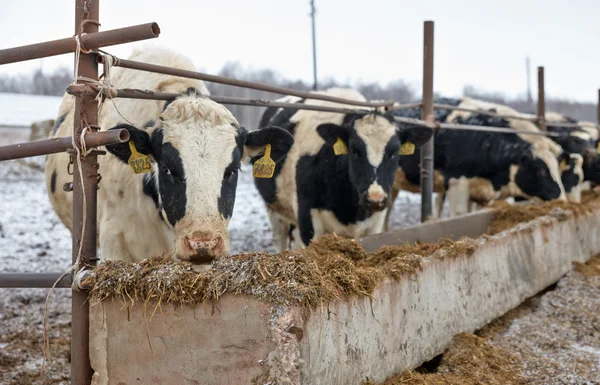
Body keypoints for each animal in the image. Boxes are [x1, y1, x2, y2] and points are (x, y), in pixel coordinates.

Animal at [252, 87, 432, 250]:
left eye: (395, 153)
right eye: (354, 150)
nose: (375, 199)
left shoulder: (375, 224)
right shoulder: (307, 221)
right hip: (274, 208)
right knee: (280, 240)